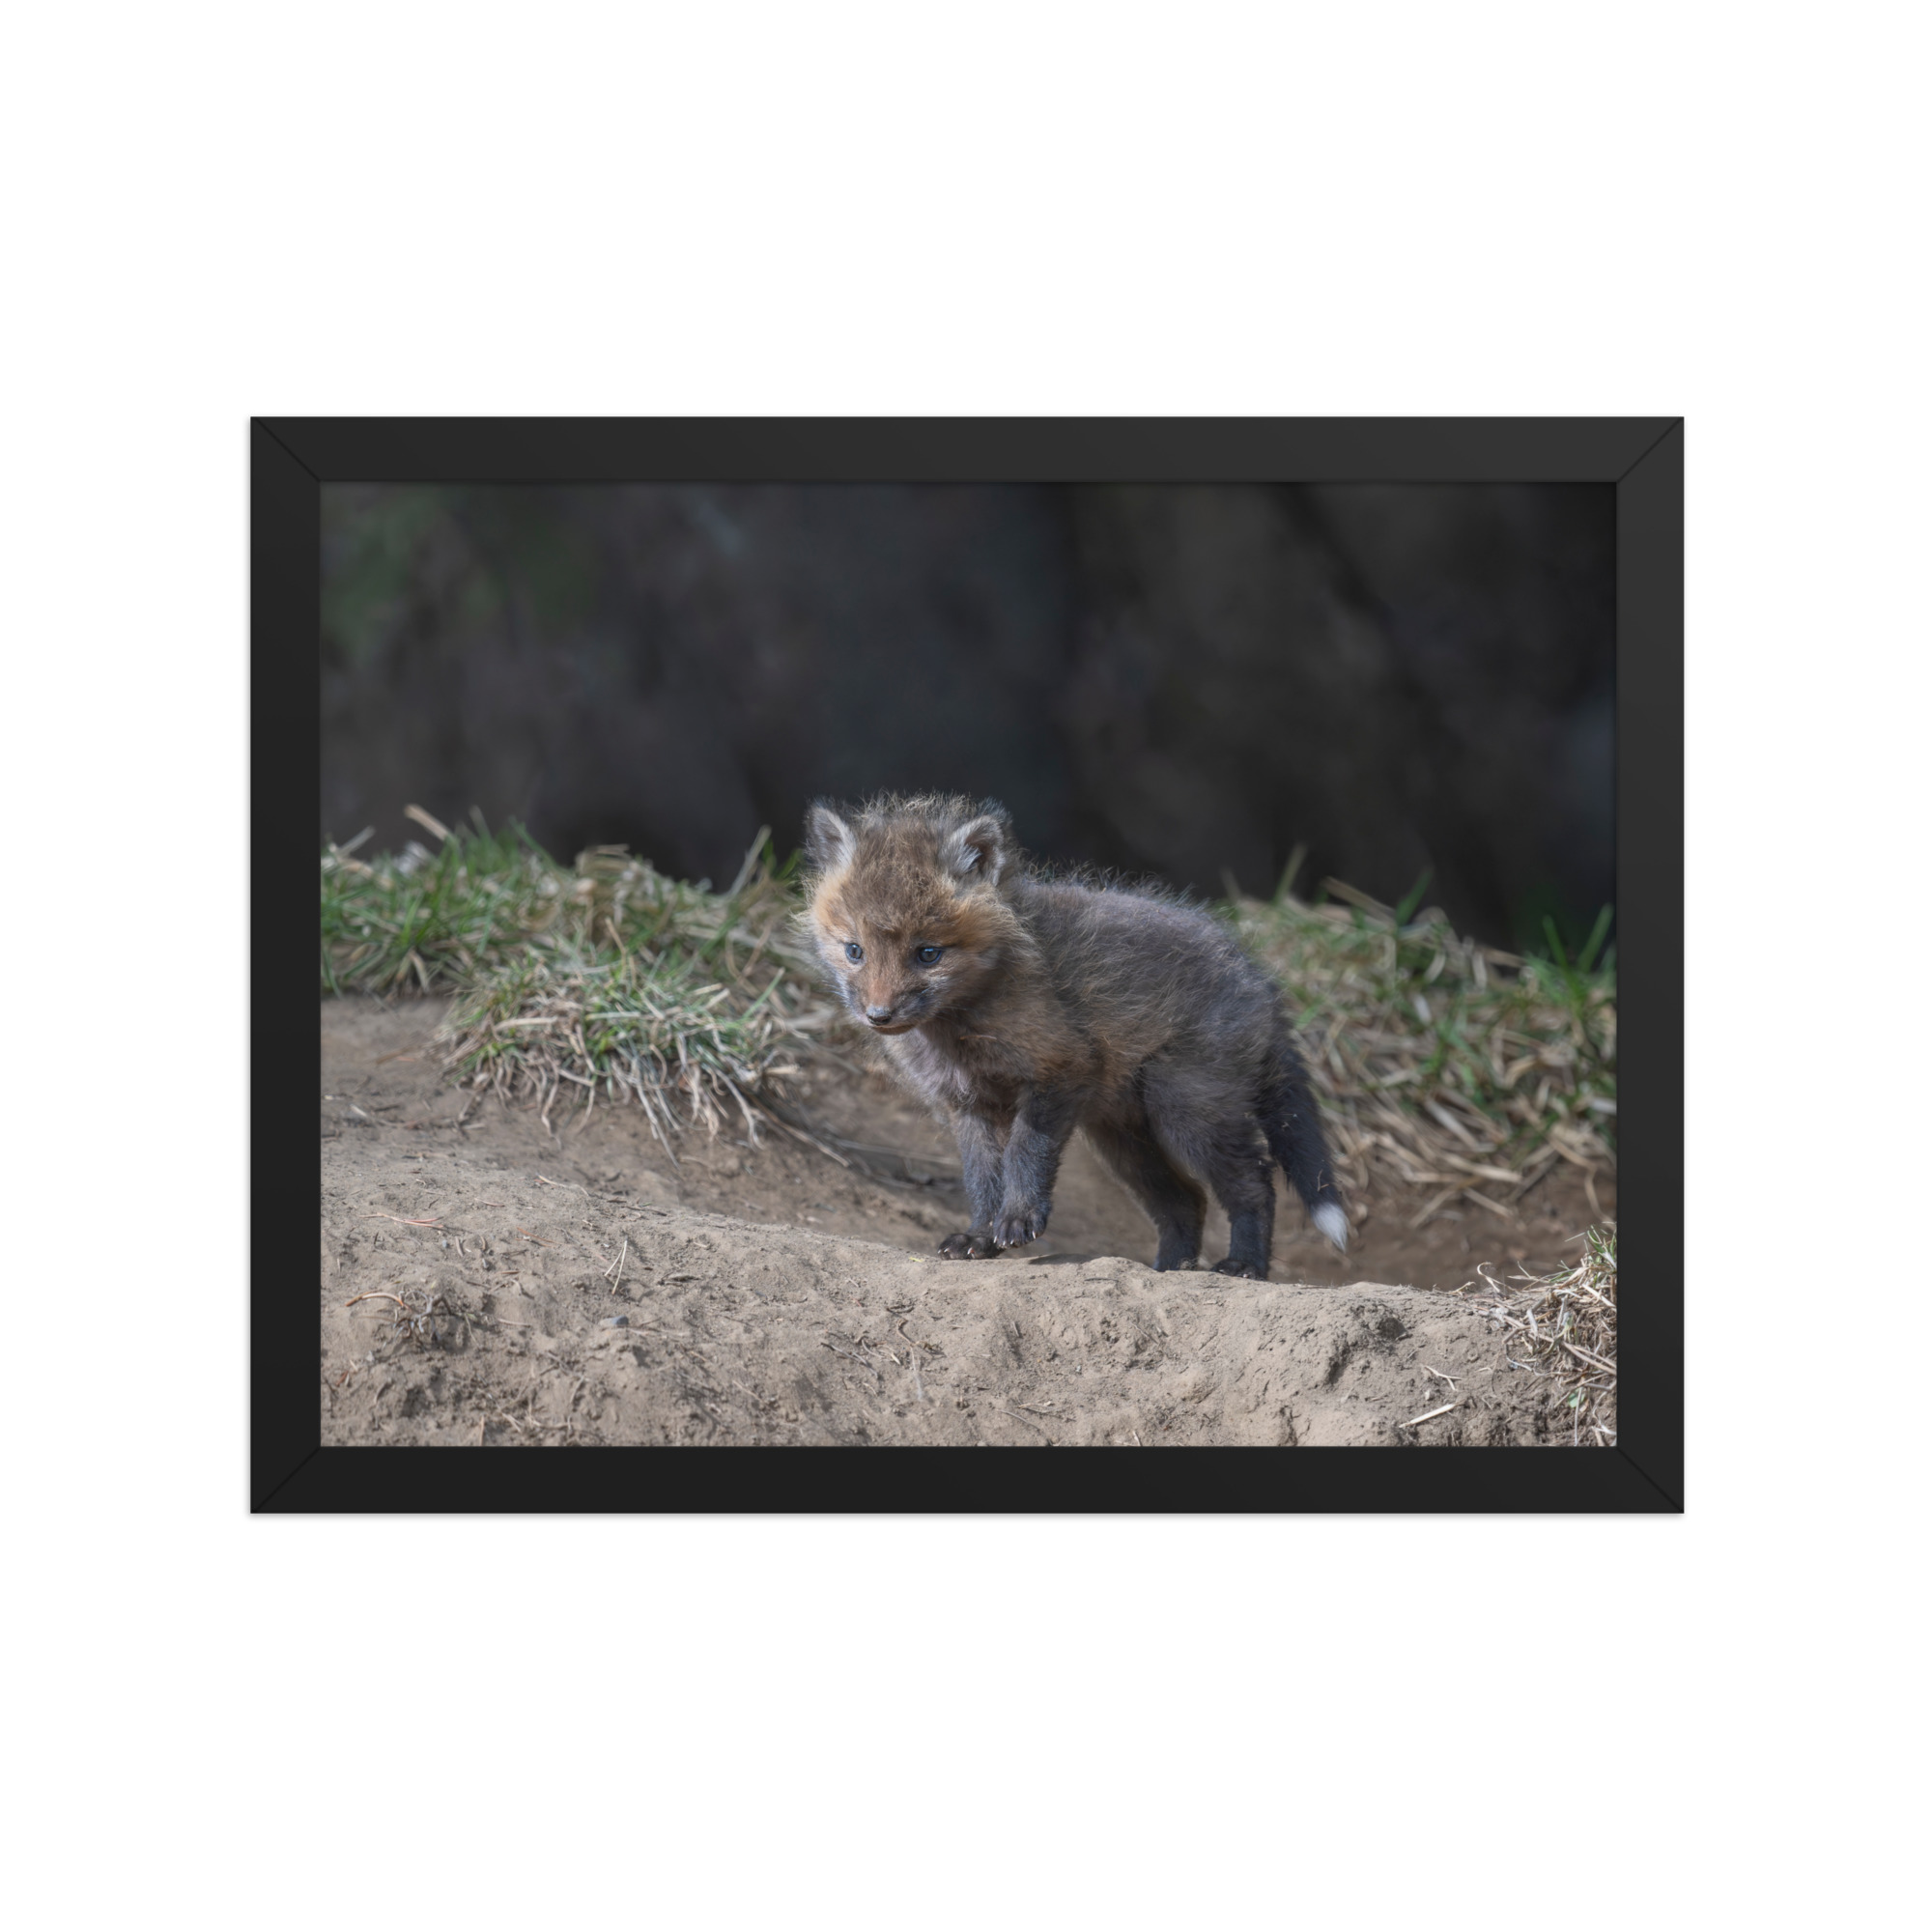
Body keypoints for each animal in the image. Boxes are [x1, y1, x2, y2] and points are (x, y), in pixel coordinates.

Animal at [801, 794, 1348, 1278]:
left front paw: (1018, 1219)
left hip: (1187, 1111)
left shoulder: (1061, 1069)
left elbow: (1025, 1153)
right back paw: (1170, 1270)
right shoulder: (968, 1104)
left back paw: (1244, 1266)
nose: (878, 1015)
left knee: (1254, 1183)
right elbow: (981, 1178)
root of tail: (1259, 979)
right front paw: (979, 1236)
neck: (961, 1031)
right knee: (1186, 1201)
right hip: (1124, 1139)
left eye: (928, 954)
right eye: (854, 950)